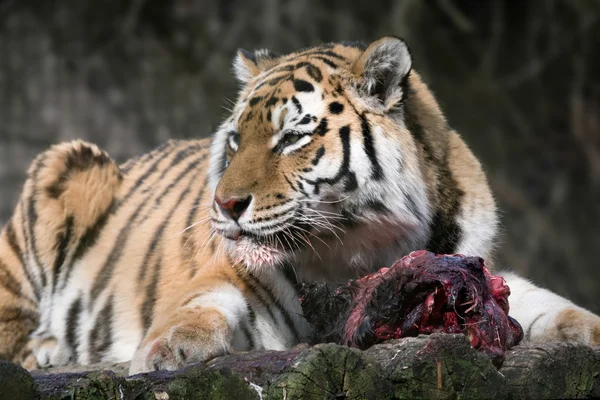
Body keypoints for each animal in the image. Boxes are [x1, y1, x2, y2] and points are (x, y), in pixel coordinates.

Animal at [0, 36, 596, 376]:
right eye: (235, 140)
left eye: (290, 138)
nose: (225, 204)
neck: (364, 247)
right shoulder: (239, 280)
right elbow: (198, 307)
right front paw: (164, 352)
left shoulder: (477, 270)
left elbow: (547, 304)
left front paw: (588, 329)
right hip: (65, 165)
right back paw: (52, 350)